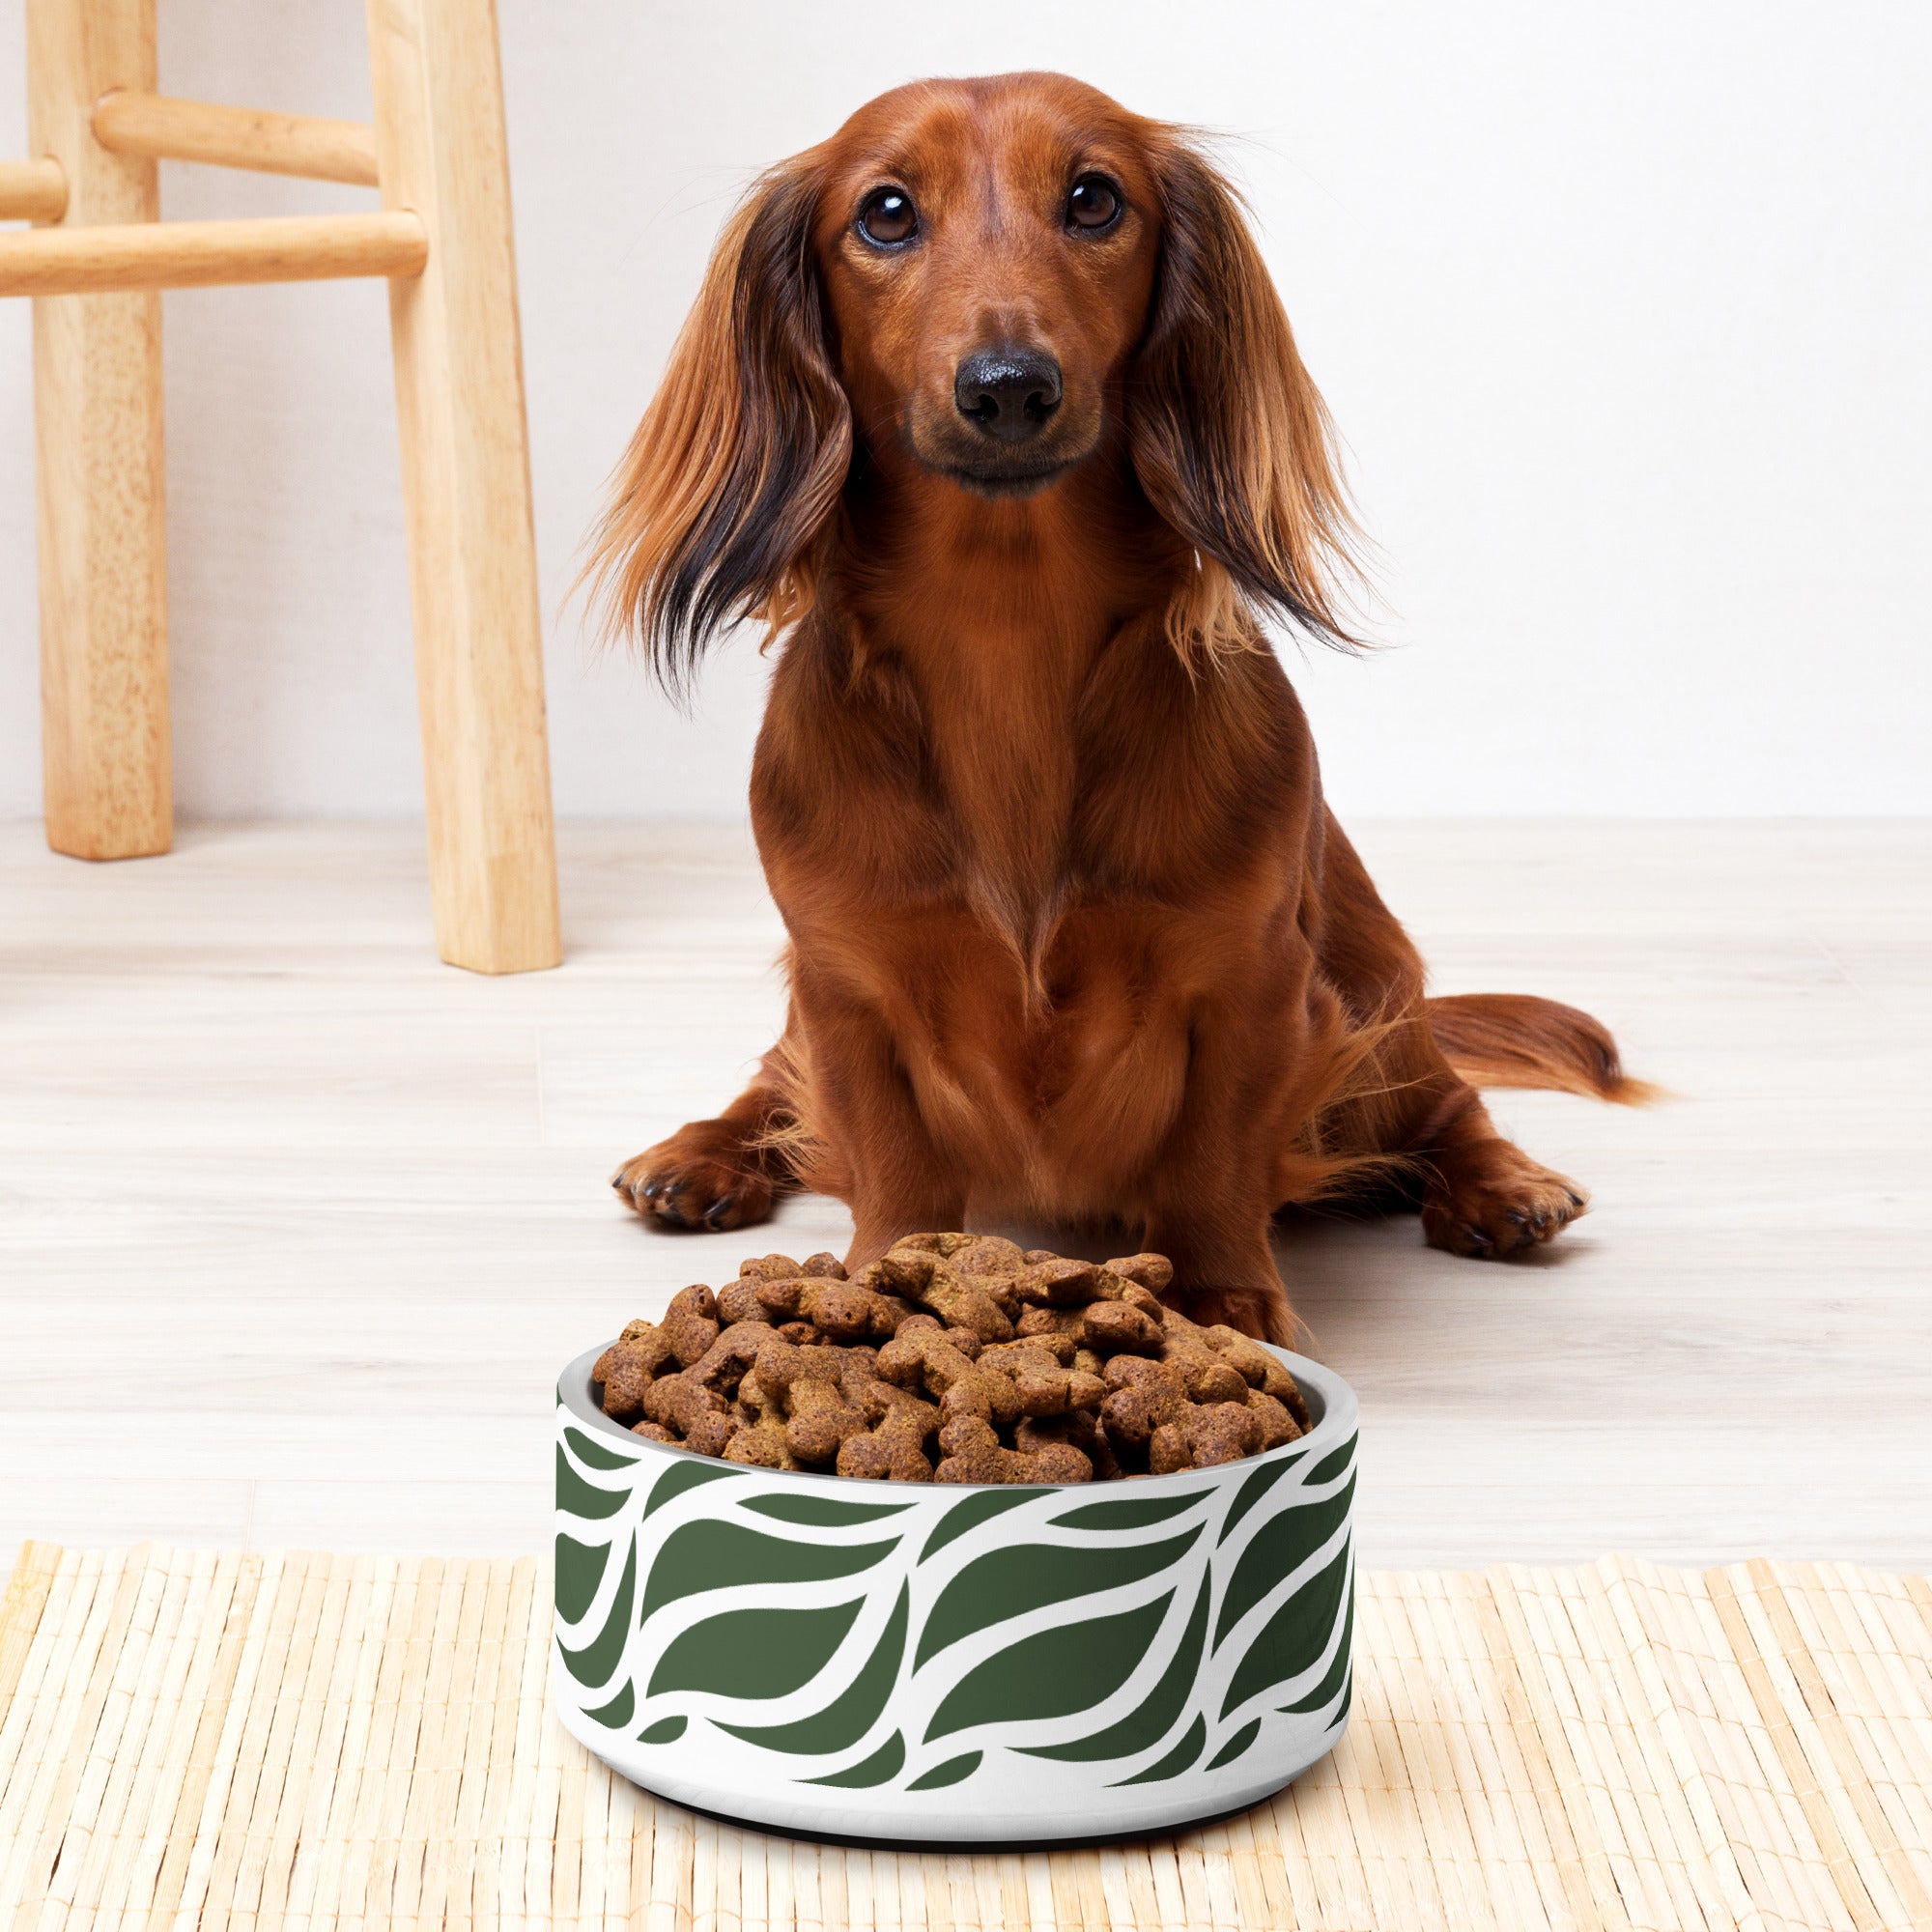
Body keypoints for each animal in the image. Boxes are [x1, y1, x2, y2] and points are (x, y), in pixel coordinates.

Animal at [587, 75, 1646, 1345]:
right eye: (884, 212)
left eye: (1093, 198)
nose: (1007, 387)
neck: (1005, 634)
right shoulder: (845, 983)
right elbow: (888, 1156)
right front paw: (884, 1281)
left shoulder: (1251, 980)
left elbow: (1210, 1158)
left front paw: (1224, 1297)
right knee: (770, 1084)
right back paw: (699, 1154)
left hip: (1374, 995)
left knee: (1446, 1100)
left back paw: (1501, 1184)